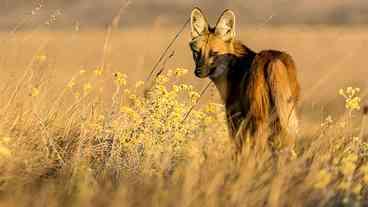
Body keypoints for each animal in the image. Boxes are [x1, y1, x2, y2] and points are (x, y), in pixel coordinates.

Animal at [188, 7, 300, 154]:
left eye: (214, 53)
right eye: (196, 53)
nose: (198, 71)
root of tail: (273, 60)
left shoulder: (234, 122)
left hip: (259, 124)